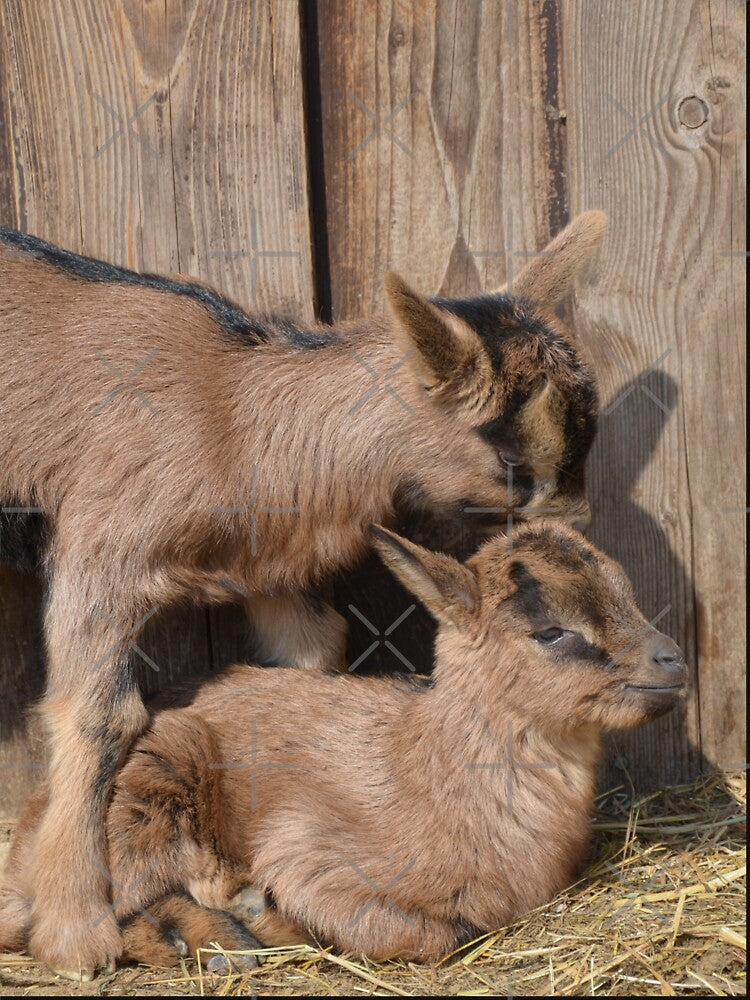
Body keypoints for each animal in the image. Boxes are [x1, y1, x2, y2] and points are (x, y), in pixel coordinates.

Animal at [0, 212, 606, 977]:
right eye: (512, 462)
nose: (579, 544)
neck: (232, 412)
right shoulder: (101, 545)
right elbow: (100, 715)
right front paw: (75, 933)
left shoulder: (271, 573)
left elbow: (308, 669)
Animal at [0, 521, 686, 971]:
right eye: (551, 631)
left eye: (627, 595)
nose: (672, 660)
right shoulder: (307, 852)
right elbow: (432, 934)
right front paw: (264, 914)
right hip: (151, 787)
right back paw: (223, 939)